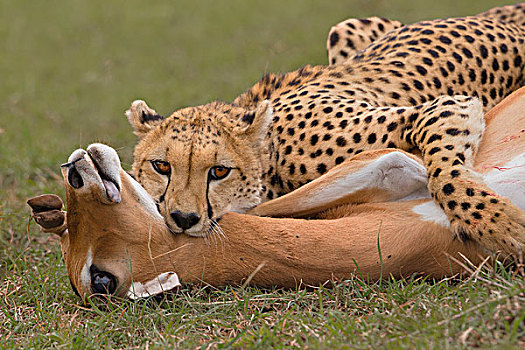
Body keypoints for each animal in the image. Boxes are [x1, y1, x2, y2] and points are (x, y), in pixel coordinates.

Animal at [126, 4, 524, 256]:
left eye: (219, 171)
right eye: (161, 166)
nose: (183, 218)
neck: (272, 157)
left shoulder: (441, 108)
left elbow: (446, 179)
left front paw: (502, 225)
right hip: (346, 29)